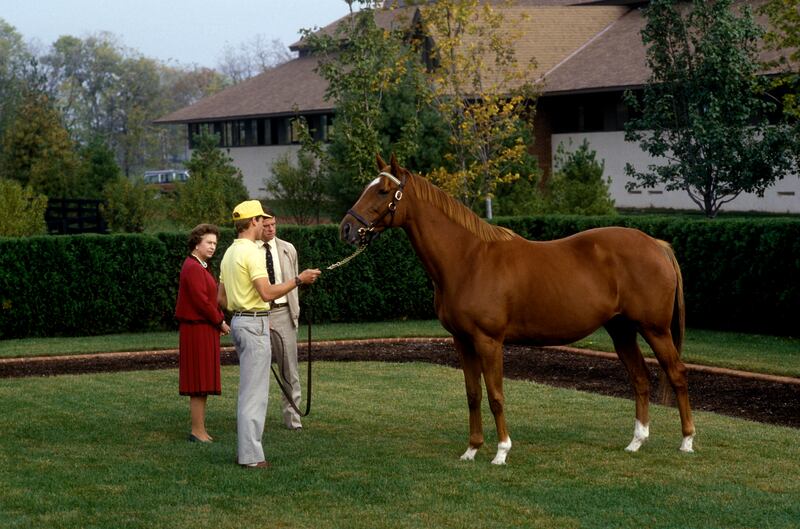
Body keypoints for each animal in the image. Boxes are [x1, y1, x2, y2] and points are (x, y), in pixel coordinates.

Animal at [340, 153, 692, 462]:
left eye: (383, 191)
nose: (346, 229)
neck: (468, 259)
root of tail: (656, 245)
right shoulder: (462, 341)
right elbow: (473, 394)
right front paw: (471, 449)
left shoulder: (489, 341)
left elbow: (496, 396)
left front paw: (501, 452)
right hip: (622, 330)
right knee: (640, 379)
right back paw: (636, 442)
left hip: (655, 329)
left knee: (676, 374)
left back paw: (687, 441)